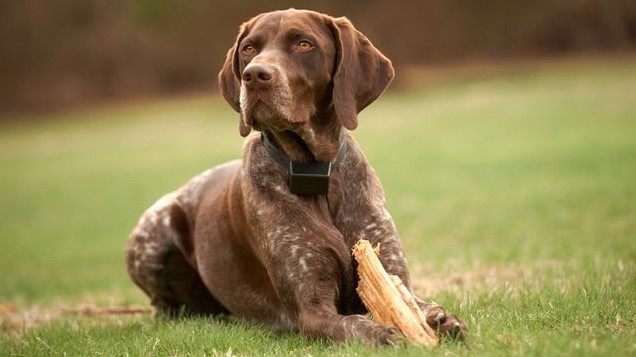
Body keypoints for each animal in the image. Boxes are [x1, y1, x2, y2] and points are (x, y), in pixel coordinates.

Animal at [124, 8, 464, 344]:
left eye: (304, 44)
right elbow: (355, 325)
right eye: (249, 48)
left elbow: (417, 305)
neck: (315, 172)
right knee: (164, 307)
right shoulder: (311, 309)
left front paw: (440, 318)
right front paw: (382, 333)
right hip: (153, 234)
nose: (254, 76)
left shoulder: (389, 270)